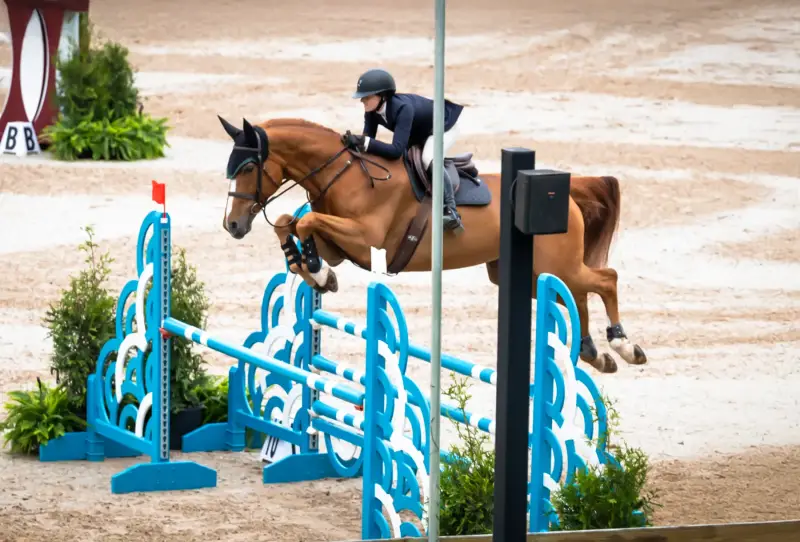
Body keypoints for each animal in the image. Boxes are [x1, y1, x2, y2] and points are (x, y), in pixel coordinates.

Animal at [216, 115, 646, 374]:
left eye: (249, 166)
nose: (232, 225)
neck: (346, 173)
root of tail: (567, 194)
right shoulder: (340, 246)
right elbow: (291, 224)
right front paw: (316, 272)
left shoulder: (369, 240)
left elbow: (305, 220)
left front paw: (318, 273)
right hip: (531, 274)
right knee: (575, 295)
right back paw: (594, 353)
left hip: (557, 265)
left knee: (605, 279)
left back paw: (624, 346)